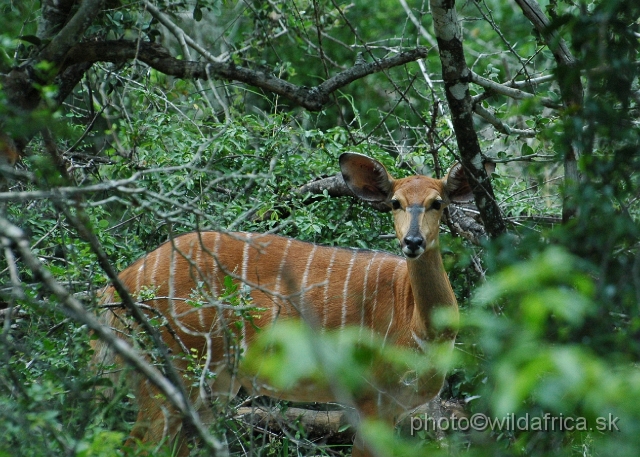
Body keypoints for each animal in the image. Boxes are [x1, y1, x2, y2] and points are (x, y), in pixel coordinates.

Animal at [95, 153, 476, 456]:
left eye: (437, 202)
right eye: (395, 202)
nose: (413, 241)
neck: (417, 324)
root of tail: (120, 284)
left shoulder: (394, 409)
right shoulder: (370, 400)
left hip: (212, 384)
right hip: (170, 369)